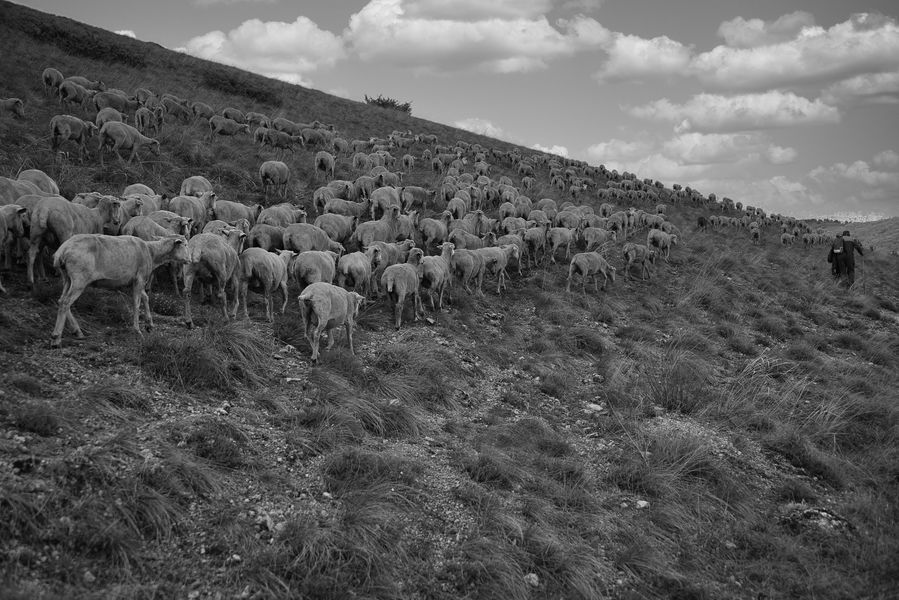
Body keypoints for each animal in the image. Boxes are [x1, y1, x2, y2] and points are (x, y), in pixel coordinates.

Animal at [50, 234, 189, 346]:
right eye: (185, 244)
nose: (190, 259)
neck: (152, 252)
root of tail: (62, 251)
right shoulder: (140, 278)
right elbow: (136, 303)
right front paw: (137, 330)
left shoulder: (135, 280)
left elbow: (145, 297)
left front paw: (149, 324)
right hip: (79, 278)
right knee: (65, 302)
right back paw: (56, 338)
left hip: (67, 278)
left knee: (61, 300)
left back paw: (77, 331)